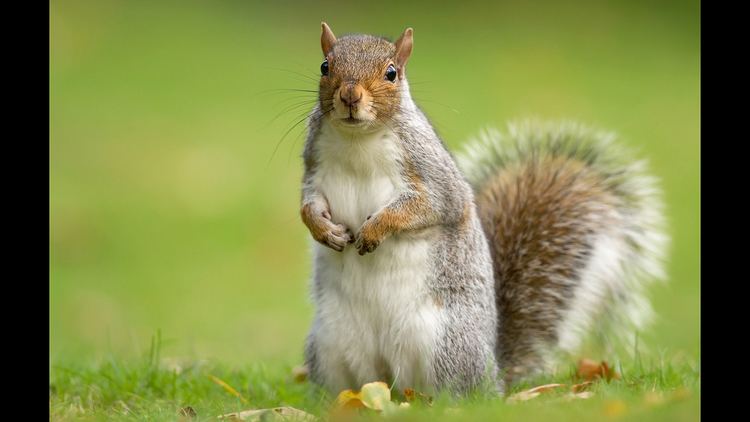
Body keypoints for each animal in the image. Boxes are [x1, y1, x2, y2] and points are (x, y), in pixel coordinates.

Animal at [300, 23, 668, 396]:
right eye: (325, 66)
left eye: (391, 73)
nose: (350, 96)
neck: (357, 139)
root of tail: (494, 375)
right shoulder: (314, 170)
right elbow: (307, 205)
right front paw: (323, 229)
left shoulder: (433, 176)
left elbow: (429, 207)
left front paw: (376, 229)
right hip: (330, 344)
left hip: (442, 344)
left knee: (454, 393)